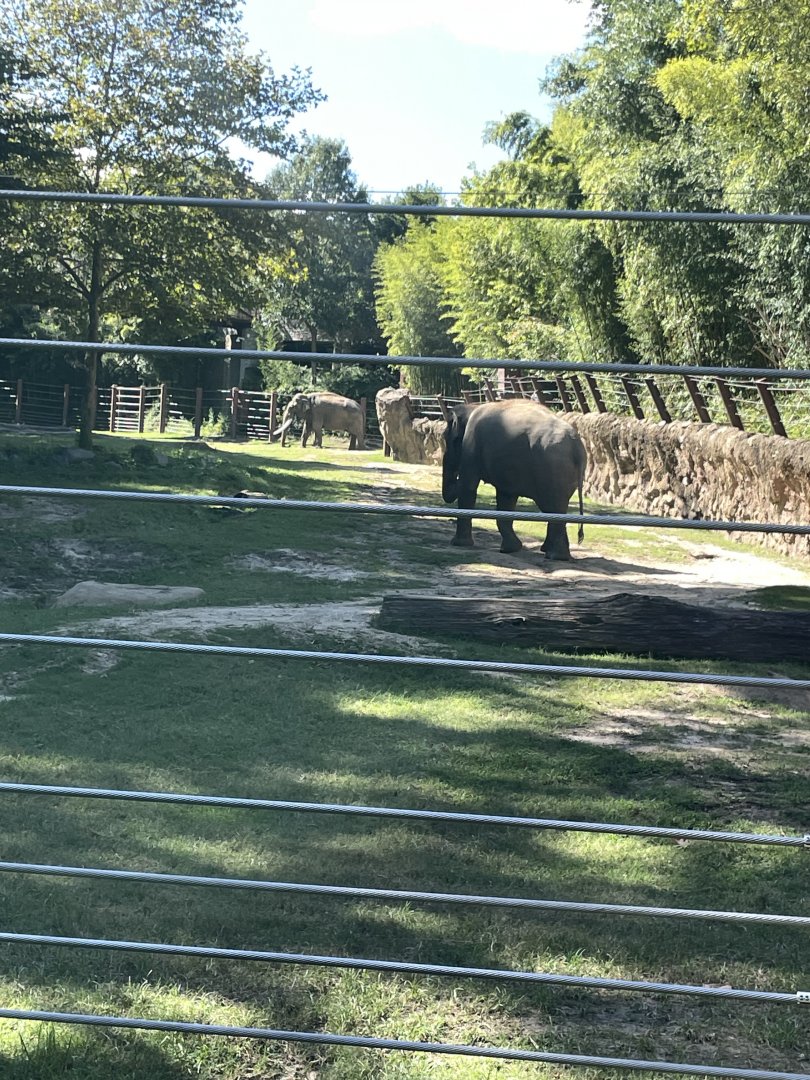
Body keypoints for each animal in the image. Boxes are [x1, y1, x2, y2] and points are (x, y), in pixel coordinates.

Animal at [441, 399, 586, 560]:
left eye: (445, 439)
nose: (455, 478)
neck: (472, 407)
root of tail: (576, 445)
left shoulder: (471, 443)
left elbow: (468, 487)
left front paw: (458, 544)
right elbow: (506, 497)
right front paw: (511, 549)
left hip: (552, 469)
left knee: (552, 506)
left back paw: (555, 556)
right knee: (555, 507)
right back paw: (551, 552)